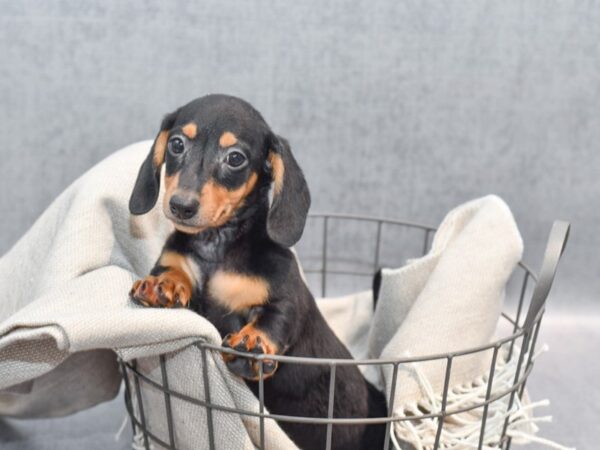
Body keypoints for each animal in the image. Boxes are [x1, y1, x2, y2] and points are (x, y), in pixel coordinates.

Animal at [129, 95, 386, 450]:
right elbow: (174, 271)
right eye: (177, 144)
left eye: (235, 158)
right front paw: (162, 285)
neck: (217, 245)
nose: (181, 206)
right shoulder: (178, 260)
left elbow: (273, 320)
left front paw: (252, 343)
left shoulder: (284, 299)